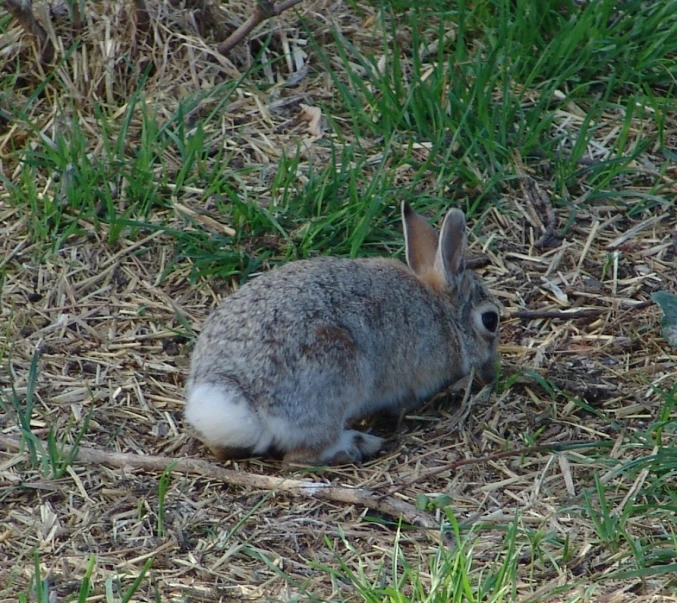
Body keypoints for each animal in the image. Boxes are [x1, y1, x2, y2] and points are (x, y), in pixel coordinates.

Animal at [182, 203, 500, 468]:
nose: (492, 371)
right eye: (491, 320)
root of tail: (237, 402)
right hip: (336, 375)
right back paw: (356, 446)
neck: (444, 313)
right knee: (297, 458)